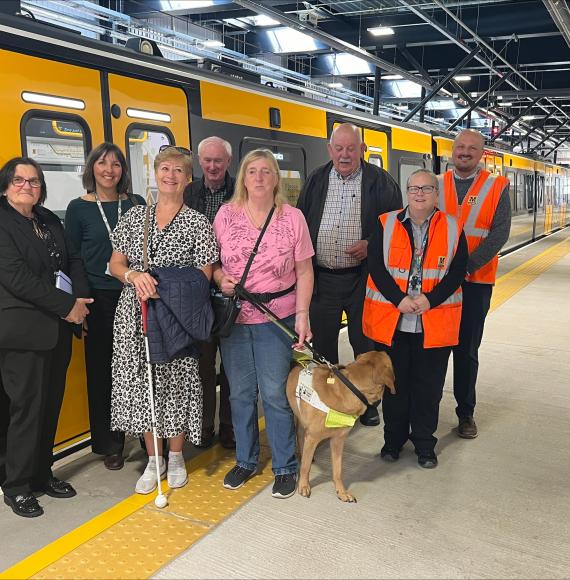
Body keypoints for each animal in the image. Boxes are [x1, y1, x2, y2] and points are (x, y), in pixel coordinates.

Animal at [286, 348, 392, 502]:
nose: (384, 349)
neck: (350, 388)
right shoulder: (312, 438)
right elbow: (305, 467)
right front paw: (304, 486)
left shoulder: (338, 440)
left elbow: (338, 470)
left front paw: (341, 492)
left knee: (299, 434)